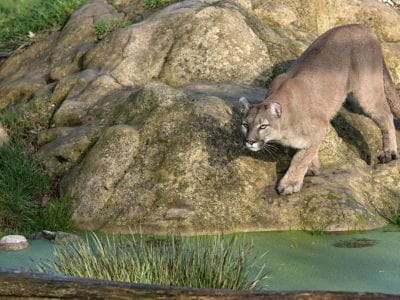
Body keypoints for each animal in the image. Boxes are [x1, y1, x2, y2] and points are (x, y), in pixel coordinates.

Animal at [239, 24, 400, 196]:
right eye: (245, 125)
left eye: (263, 126)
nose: (249, 141)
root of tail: (362, 26)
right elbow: (309, 150)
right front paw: (313, 167)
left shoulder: (321, 126)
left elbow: (301, 157)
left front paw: (290, 183)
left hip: (367, 90)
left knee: (386, 116)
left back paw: (389, 152)